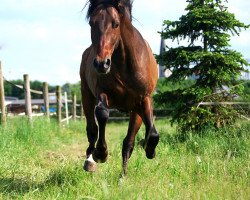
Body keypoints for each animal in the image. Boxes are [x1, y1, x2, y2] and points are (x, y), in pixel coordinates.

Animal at [79, 0, 159, 175]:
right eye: (91, 23)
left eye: (115, 24)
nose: (101, 64)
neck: (126, 66)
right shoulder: (103, 92)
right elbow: (102, 114)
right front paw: (101, 154)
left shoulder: (144, 99)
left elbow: (153, 134)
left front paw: (150, 150)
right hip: (86, 95)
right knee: (92, 129)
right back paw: (90, 161)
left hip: (134, 111)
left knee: (128, 142)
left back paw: (123, 176)